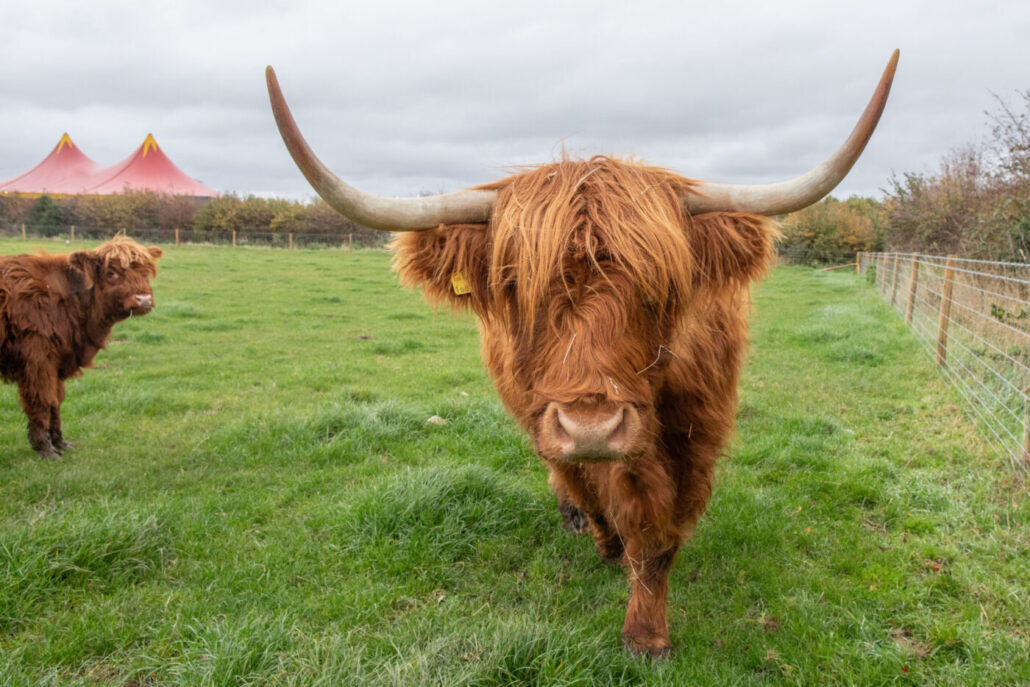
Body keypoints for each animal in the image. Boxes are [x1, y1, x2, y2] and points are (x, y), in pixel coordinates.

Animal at [1, 236, 162, 458]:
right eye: (111, 272)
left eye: (145, 271)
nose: (144, 299)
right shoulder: (37, 361)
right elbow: (42, 401)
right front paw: (45, 449)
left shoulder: (58, 361)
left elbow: (56, 401)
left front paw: (59, 442)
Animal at [266, 50, 898, 655]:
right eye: (514, 284)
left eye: (661, 287)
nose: (592, 426)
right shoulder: (549, 424)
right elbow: (588, 492)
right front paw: (606, 543)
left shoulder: (693, 438)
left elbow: (658, 538)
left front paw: (645, 635)